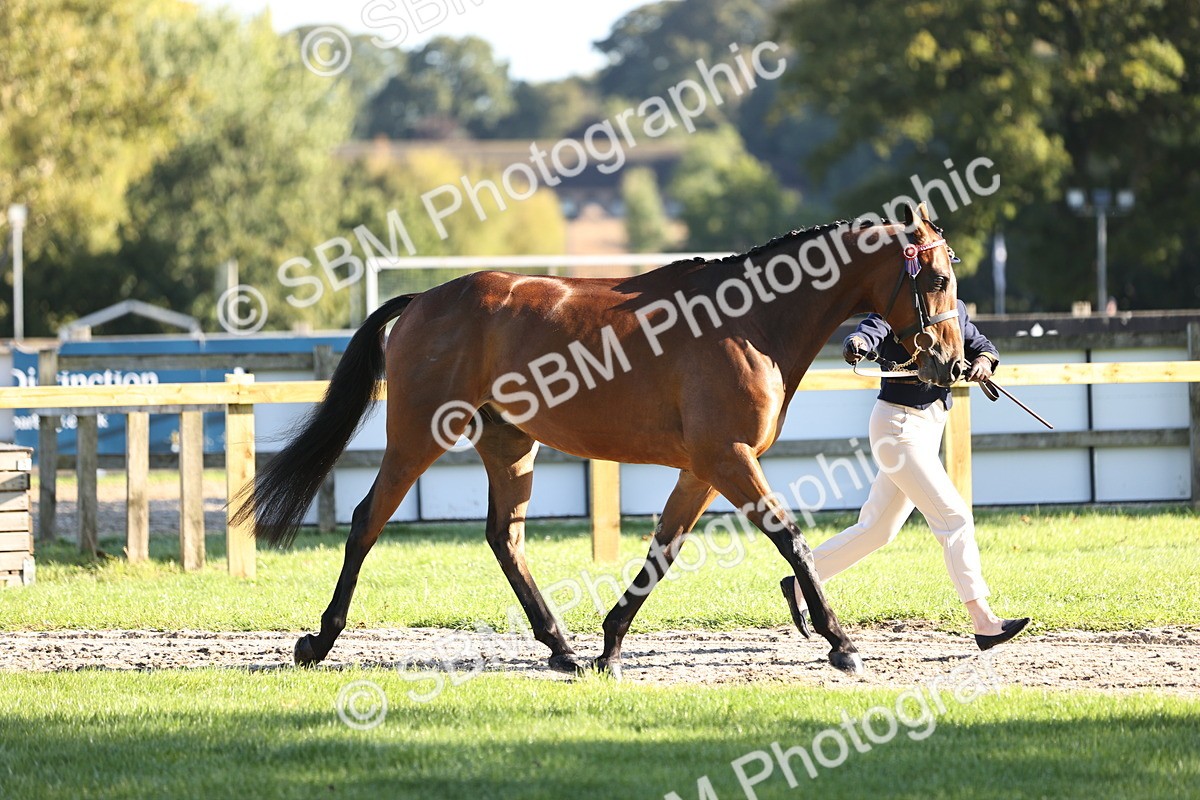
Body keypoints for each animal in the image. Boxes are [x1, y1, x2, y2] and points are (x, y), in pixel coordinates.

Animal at [234, 202, 963, 677]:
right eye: (937, 279)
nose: (952, 364)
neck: (751, 319)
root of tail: (424, 301)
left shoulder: (703, 469)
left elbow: (662, 551)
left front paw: (609, 646)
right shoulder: (729, 459)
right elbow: (792, 538)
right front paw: (840, 642)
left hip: (509, 446)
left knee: (504, 537)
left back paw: (559, 645)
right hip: (418, 435)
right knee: (368, 521)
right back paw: (319, 641)